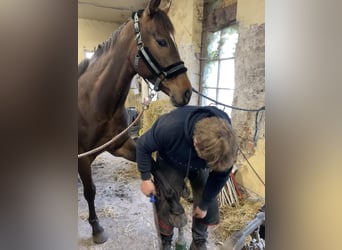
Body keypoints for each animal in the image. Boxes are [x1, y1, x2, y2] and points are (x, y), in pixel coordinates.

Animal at [77, 0, 192, 243]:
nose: (186, 92)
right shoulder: (82, 158)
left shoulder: (121, 145)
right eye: (161, 41)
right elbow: (90, 191)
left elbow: (153, 165)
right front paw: (96, 228)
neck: (92, 102)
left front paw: (176, 205)